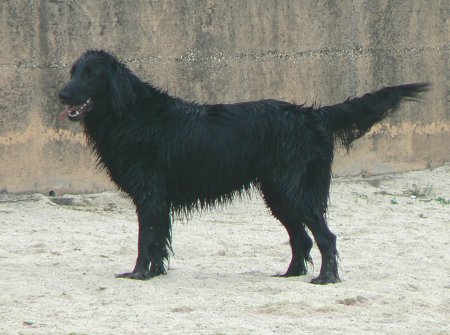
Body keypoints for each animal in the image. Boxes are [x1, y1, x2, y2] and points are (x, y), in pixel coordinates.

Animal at [59, 50, 428, 284]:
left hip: (293, 191)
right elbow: (159, 240)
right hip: (278, 193)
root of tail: (313, 115)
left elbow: (144, 239)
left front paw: (138, 274)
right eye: (73, 71)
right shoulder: (158, 200)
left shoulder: (150, 196)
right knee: (302, 239)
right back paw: (291, 273)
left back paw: (325, 278)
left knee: (326, 237)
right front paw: (155, 272)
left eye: (90, 75)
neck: (131, 114)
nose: (62, 94)